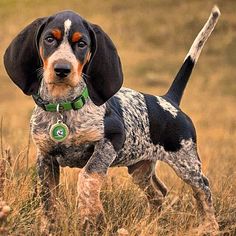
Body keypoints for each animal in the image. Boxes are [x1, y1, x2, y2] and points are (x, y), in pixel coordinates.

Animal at [3, 5, 220, 232]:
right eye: (49, 39)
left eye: (82, 44)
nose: (62, 69)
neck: (63, 108)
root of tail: (169, 100)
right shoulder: (45, 158)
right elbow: (48, 201)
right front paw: (49, 228)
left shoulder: (110, 140)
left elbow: (87, 175)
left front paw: (91, 213)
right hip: (140, 169)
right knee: (159, 193)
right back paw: (150, 224)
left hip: (186, 163)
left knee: (203, 189)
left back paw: (209, 226)